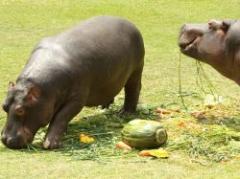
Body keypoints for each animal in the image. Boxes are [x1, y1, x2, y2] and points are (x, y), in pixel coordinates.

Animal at [0, 16, 144, 149]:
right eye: (4, 106)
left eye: (20, 110)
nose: (6, 140)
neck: (40, 89)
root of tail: (129, 22)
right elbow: (58, 116)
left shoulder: (77, 99)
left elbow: (60, 117)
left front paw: (50, 144)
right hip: (111, 78)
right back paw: (103, 107)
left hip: (136, 70)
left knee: (133, 90)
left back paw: (125, 113)